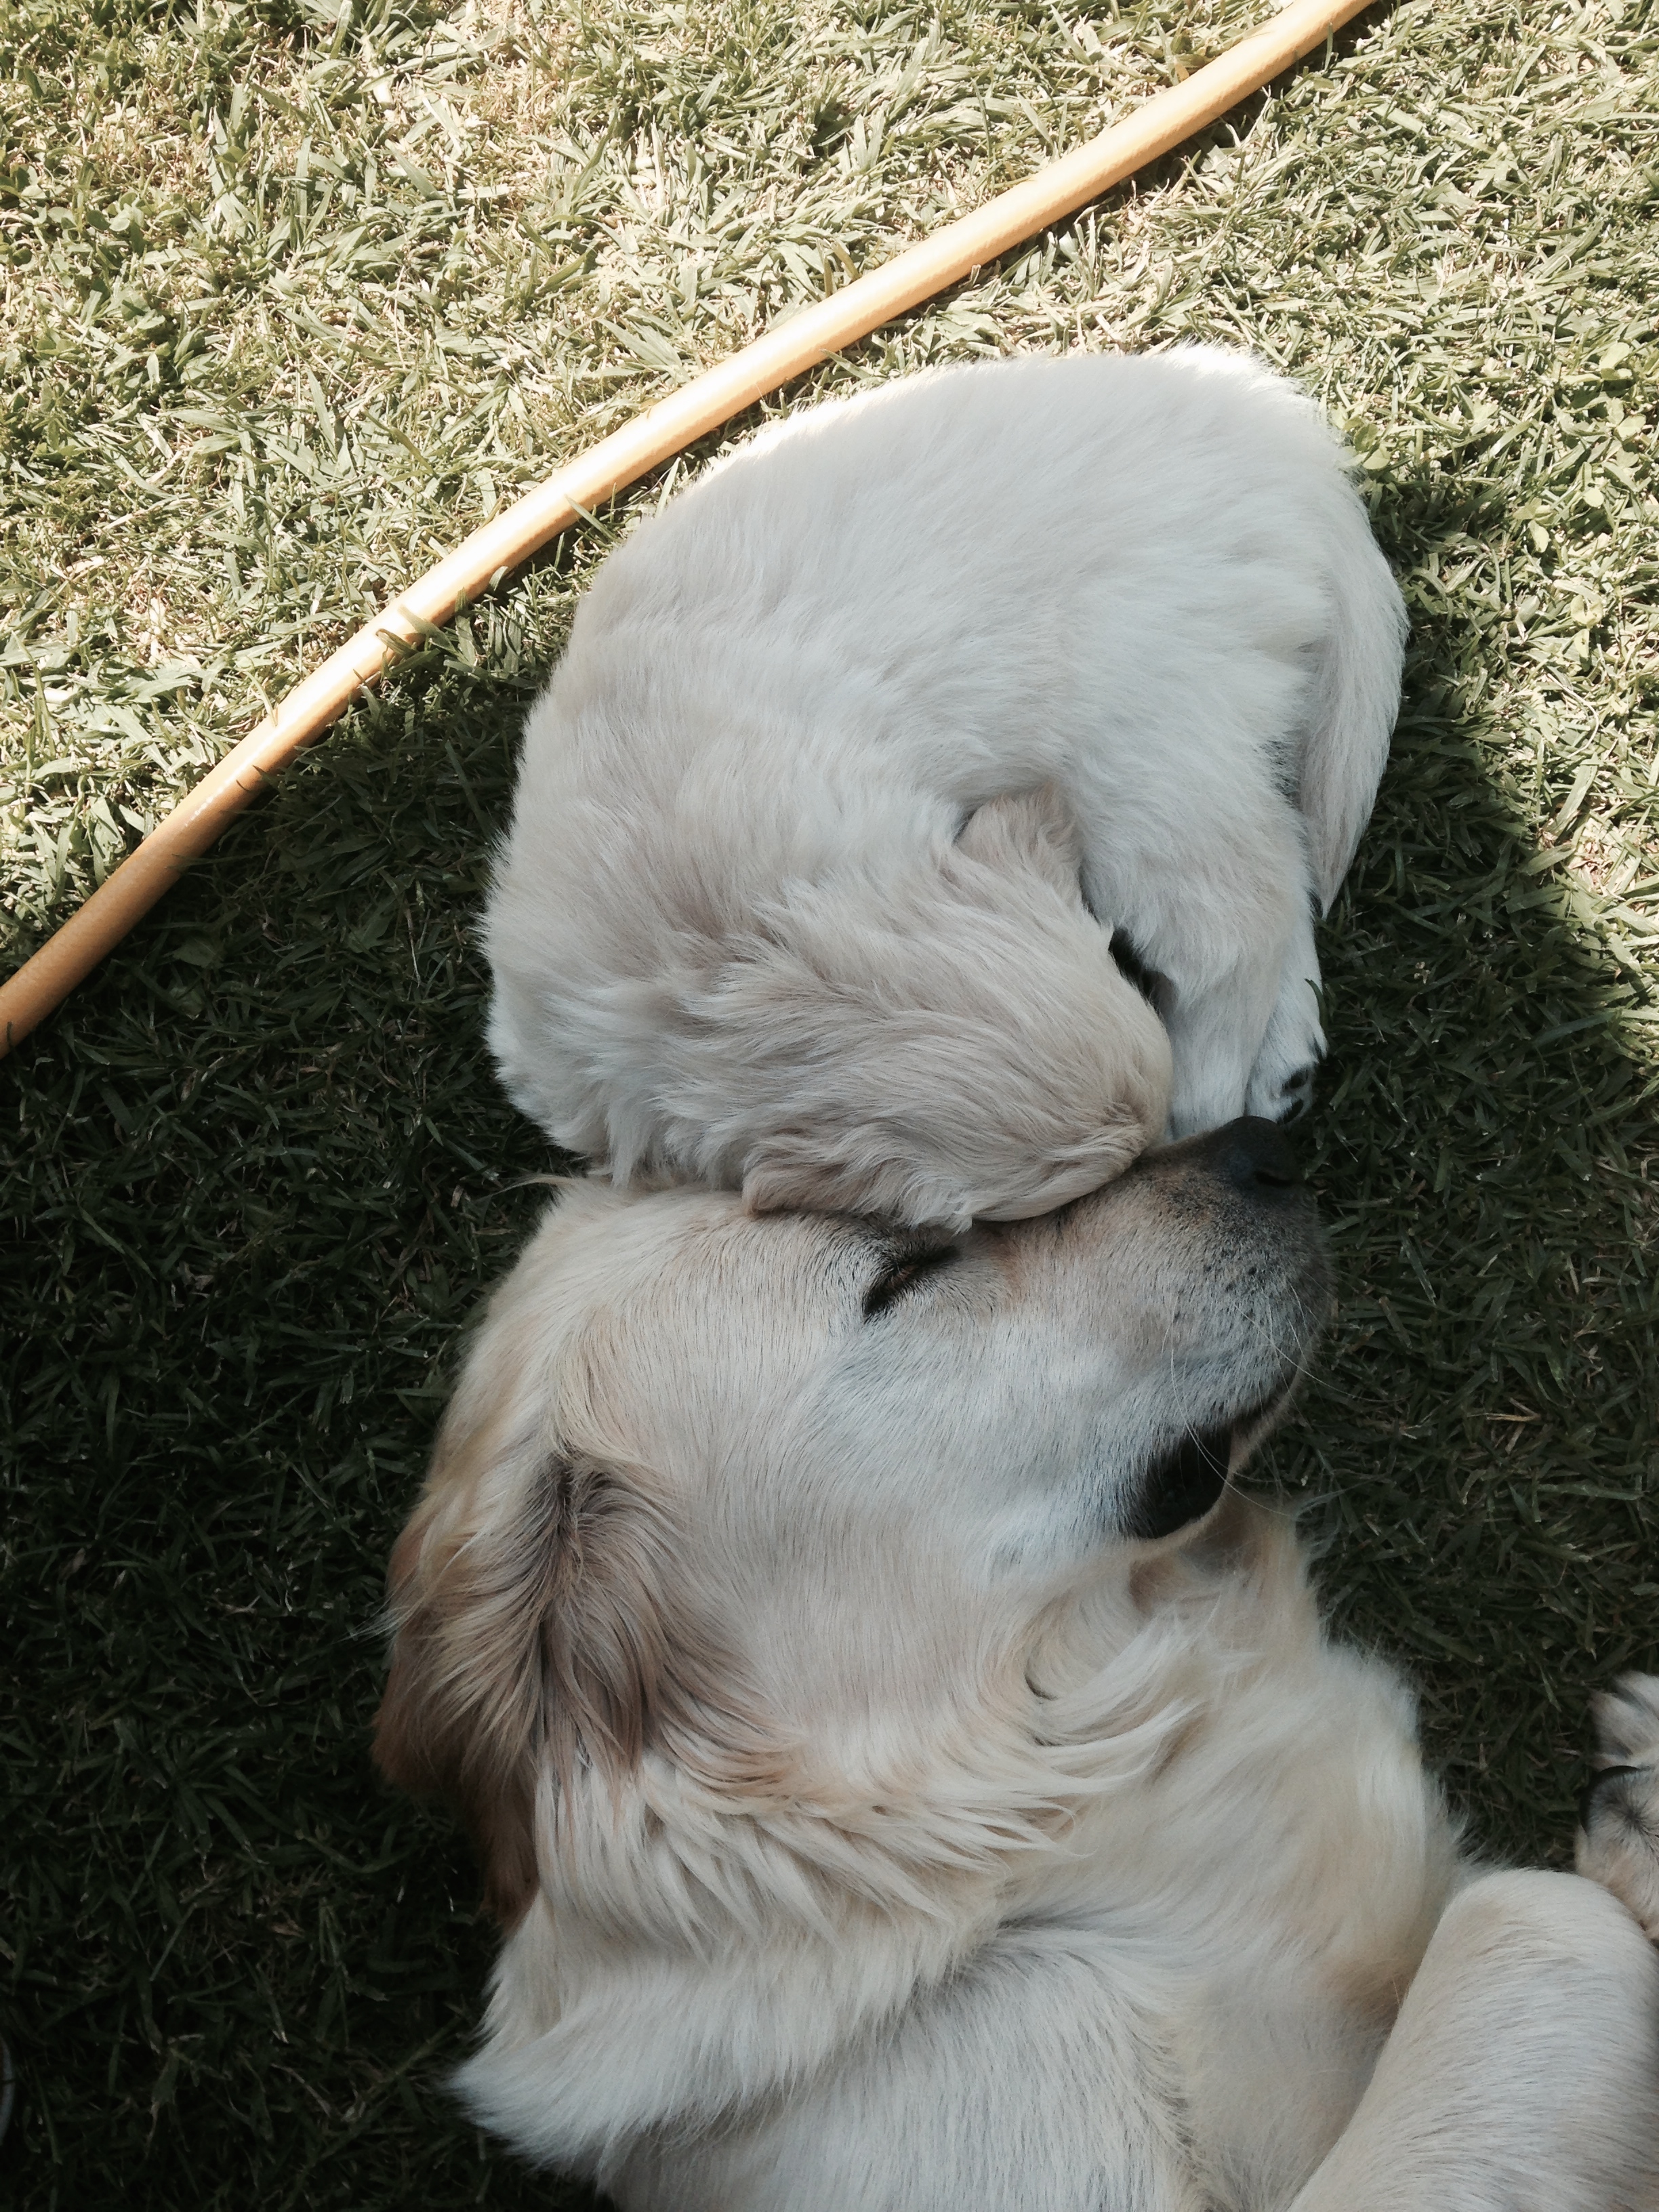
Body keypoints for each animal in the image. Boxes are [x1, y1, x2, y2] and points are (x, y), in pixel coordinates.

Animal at [484, 349, 1407, 1230]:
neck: (734, 939)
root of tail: (1285, 440)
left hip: (1144, 744)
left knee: (1235, 924)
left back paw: (1217, 1092)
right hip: (1202, 734)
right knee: (1282, 865)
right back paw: (1285, 1055)